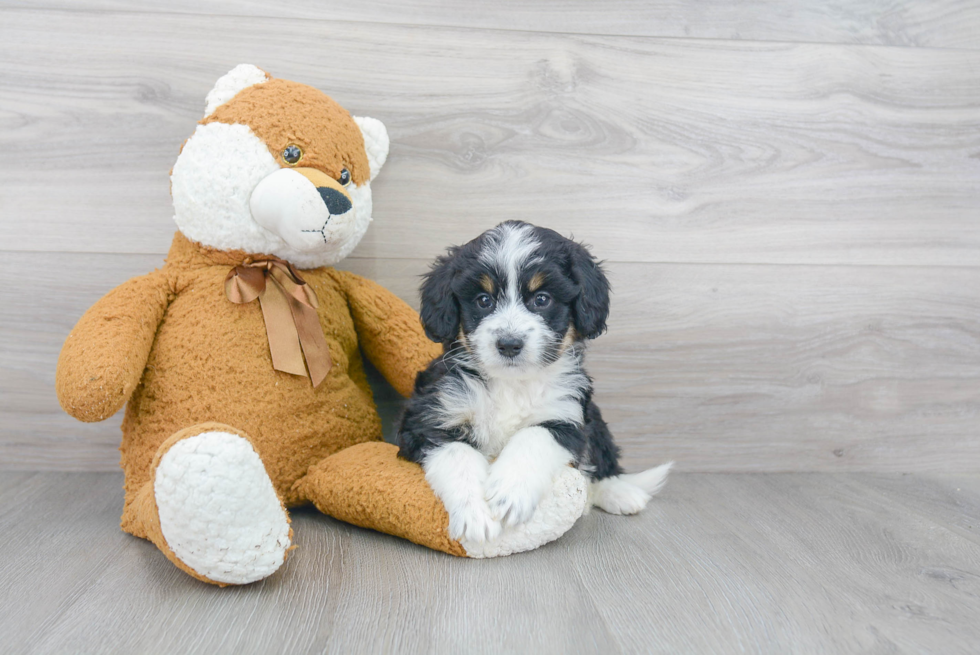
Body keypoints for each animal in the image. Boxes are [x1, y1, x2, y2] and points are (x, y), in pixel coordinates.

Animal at [394, 220, 668, 544]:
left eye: (542, 299)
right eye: (483, 300)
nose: (509, 344)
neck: (512, 384)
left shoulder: (565, 415)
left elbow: (533, 437)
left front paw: (510, 493)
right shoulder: (430, 416)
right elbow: (457, 455)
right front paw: (475, 515)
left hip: (595, 418)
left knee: (601, 458)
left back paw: (620, 492)